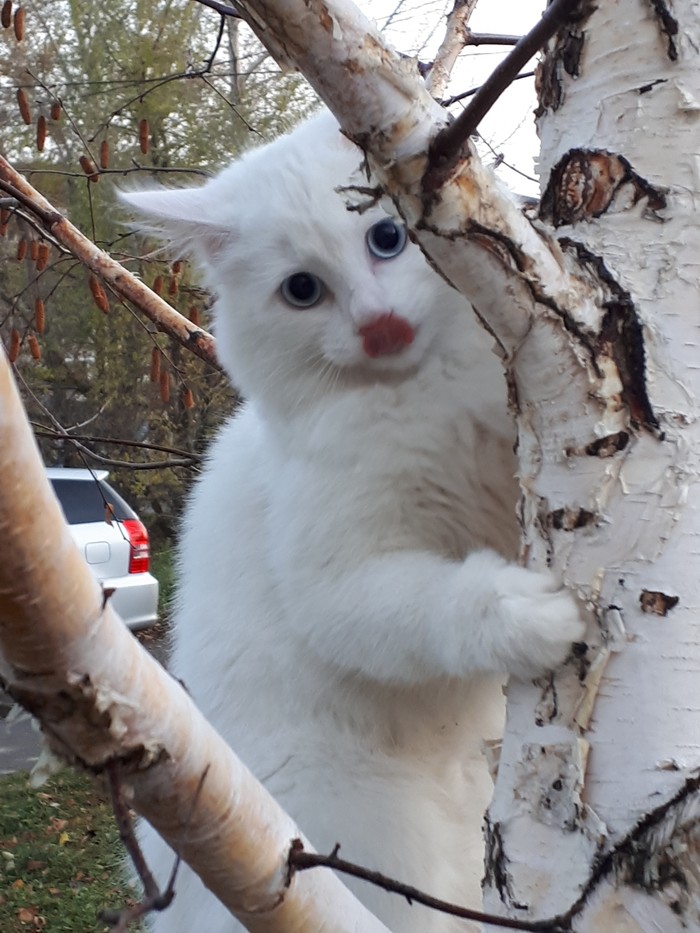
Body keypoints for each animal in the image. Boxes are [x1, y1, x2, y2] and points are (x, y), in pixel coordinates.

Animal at [121, 113, 584, 928]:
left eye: (388, 239)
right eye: (302, 290)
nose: (381, 327)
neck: (423, 390)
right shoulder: (340, 585)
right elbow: (446, 605)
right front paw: (529, 618)